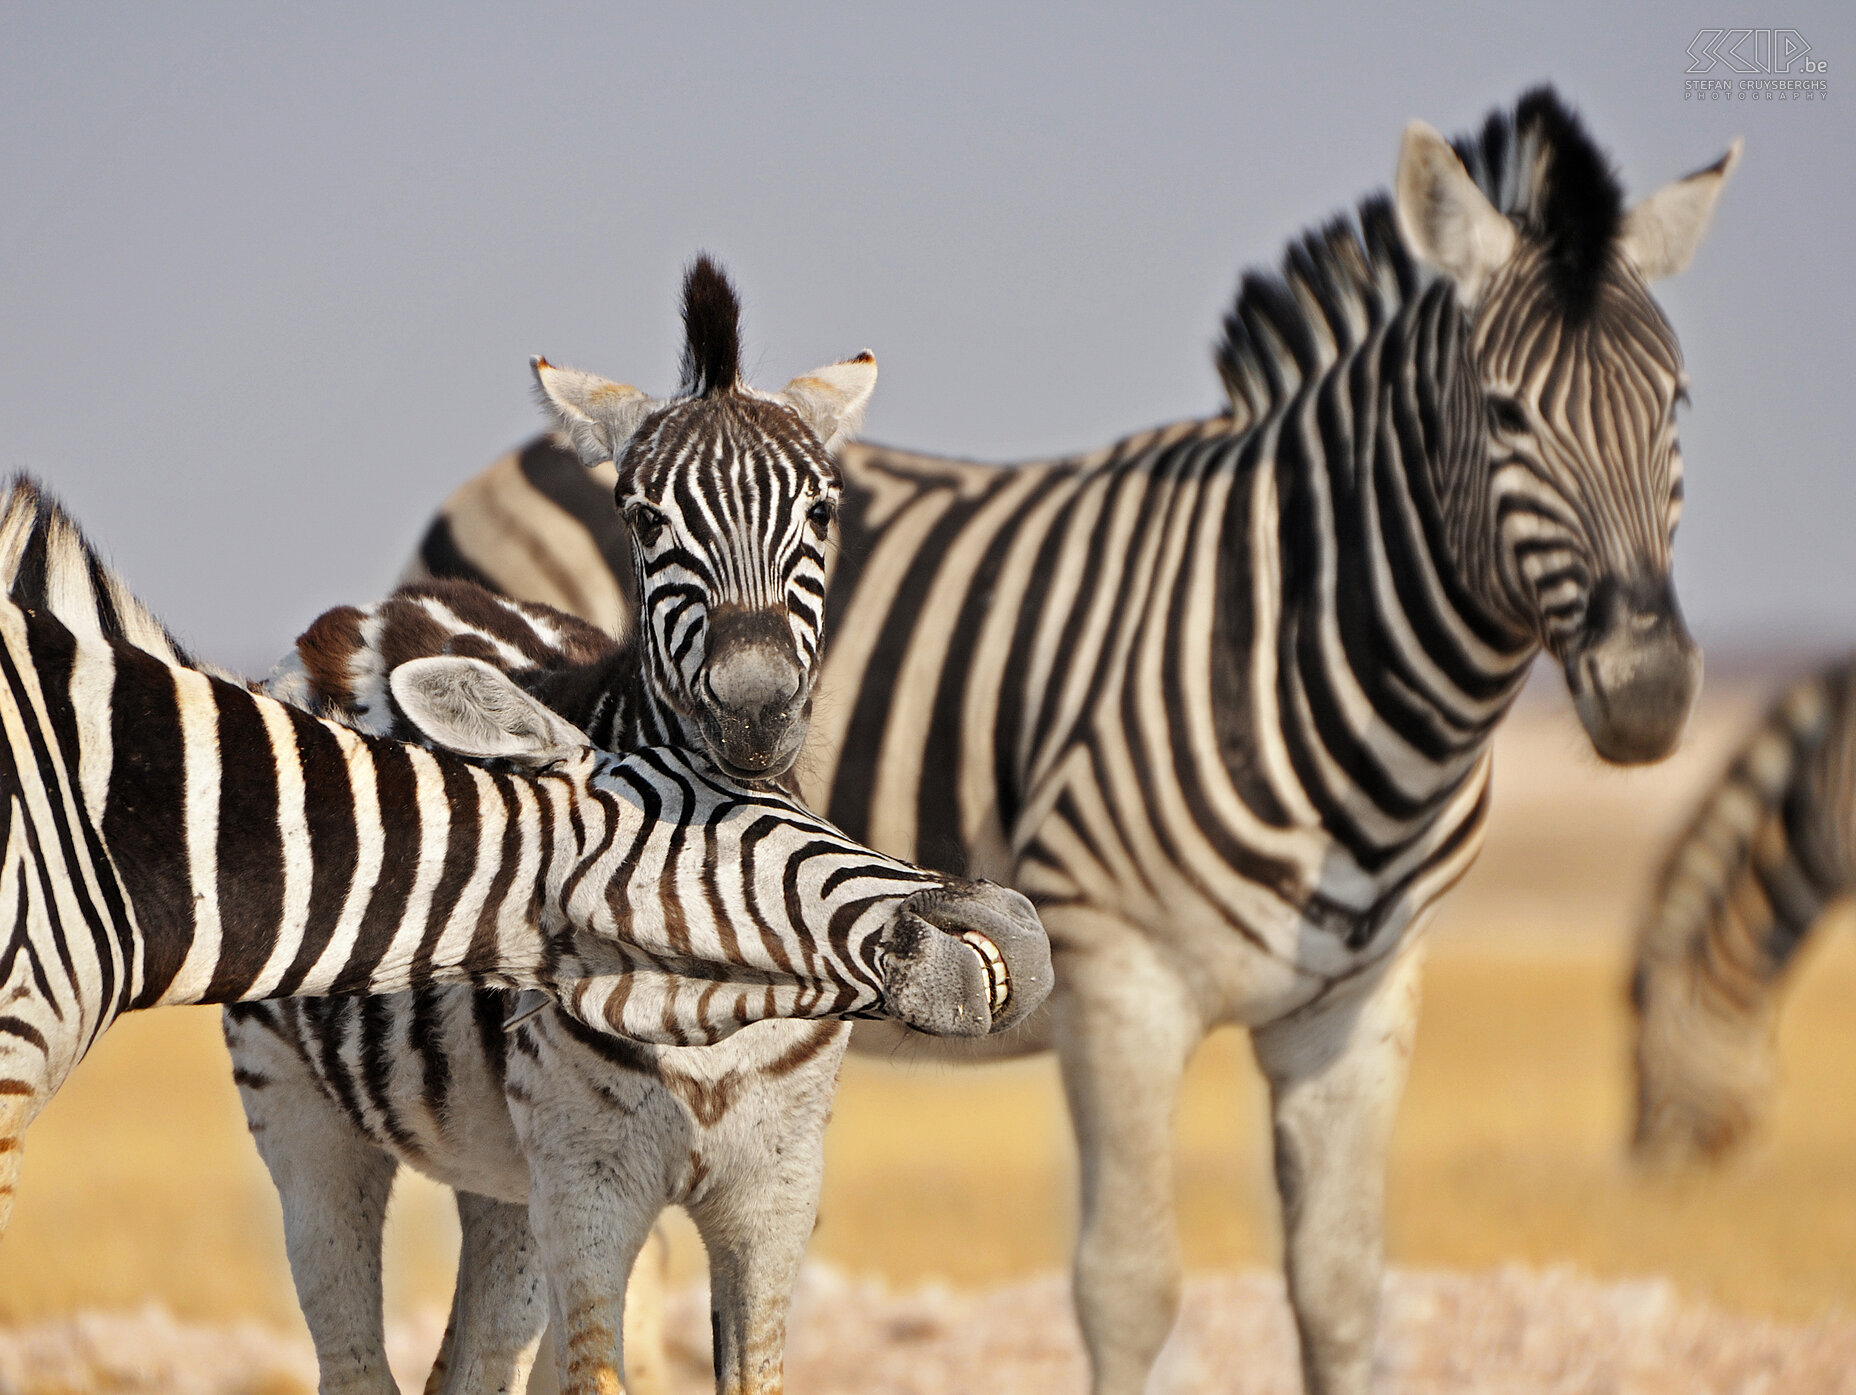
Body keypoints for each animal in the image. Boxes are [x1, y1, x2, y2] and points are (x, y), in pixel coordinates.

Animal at [232, 261, 1054, 1395]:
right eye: (643, 515)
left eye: (821, 509)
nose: (754, 705)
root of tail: (370, 615)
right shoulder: (588, 1189)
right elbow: (598, 1373)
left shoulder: (775, 1194)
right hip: (301, 1114)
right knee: (354, 1352)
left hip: (502, 1177)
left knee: (468, 1358)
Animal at [402, 89, 1737, 1395]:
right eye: (1505, 416)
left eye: (1677, 403)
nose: (1648, 690)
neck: (1307, 650)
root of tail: (510, 462)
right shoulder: (1116, 979)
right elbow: (1126, 1285)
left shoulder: (1356, 1003)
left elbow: (1341, 1292)